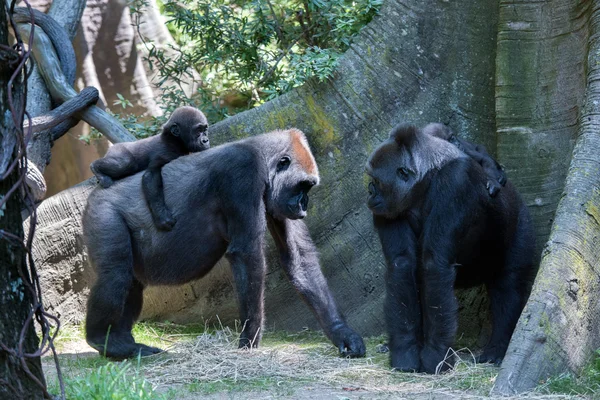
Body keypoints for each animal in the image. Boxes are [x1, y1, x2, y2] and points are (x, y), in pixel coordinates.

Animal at [82, 129, 366, 360]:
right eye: (303, 186)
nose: (303, 207)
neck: (260, 154)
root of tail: (95, 192)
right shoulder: (242, 170)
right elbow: (247, 254)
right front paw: (250, 337)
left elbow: (298, 258)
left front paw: (342, 333)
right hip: (102, 211)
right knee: (115, 276)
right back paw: (104, 341)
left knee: (130, 282)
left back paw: (123, 343)